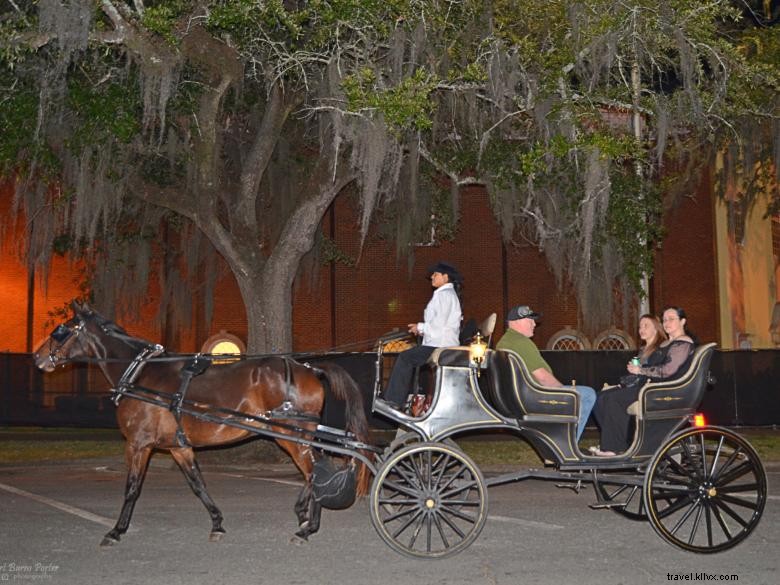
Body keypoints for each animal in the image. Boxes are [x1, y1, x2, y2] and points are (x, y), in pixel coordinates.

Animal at [32, 304, 370, 544]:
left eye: (61, 330)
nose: (37, 358)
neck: (140, 375)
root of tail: (308, 367)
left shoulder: (139, 444)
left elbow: (132, 488)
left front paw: (116, 530)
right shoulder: (178, 447)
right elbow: (197, 483)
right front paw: (217, 523)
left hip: (290, 434)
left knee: (314, 471)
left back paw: (307, 527)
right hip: (290, 434)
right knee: (315, 469)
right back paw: (303, 515)